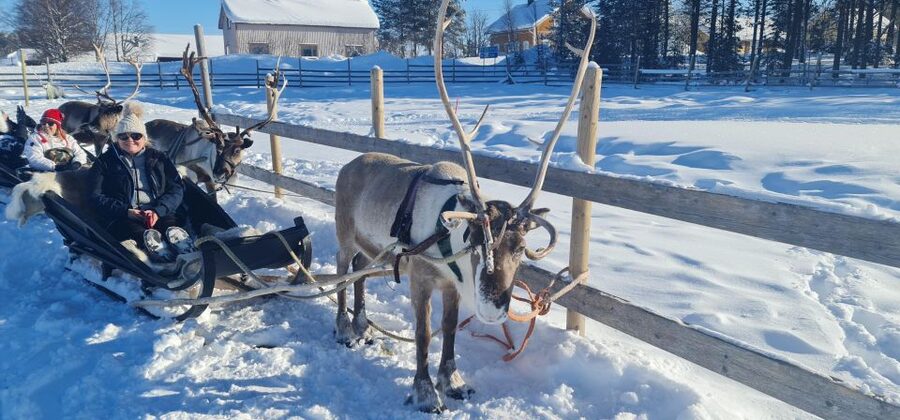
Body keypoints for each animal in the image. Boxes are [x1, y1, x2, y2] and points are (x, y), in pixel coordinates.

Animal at [331, 0, 596, 413]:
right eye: (476, 240)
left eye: (520, 247)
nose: (496, 304)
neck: (447, 239)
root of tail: (348, 165)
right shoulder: (421, 277)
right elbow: (424, 334)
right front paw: (425, 392)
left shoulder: (451, 286)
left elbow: (450, 331)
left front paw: (453, 381)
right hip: (344, 232)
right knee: (342, 271)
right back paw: (344, 329)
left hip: (369, 245)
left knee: (360, 270)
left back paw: (362, 326)